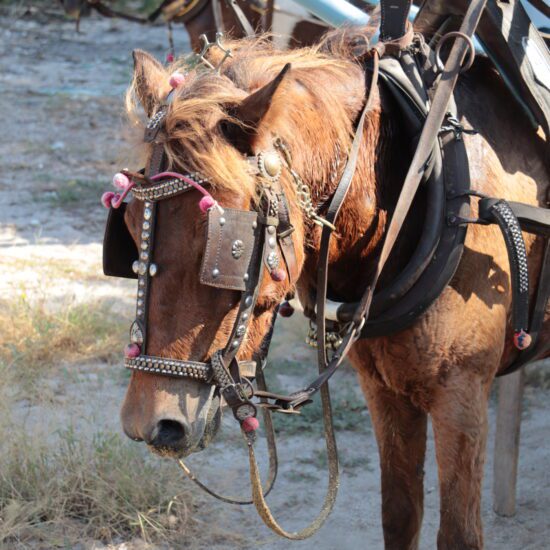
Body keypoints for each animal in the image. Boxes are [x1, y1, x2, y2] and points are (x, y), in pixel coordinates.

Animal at [118, 27, 548, 550]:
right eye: (128, 226)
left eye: (228, 244)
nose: (151, 423)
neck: (417, 186)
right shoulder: (384, 389)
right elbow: (400, 514)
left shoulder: (460, 393)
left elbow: (459, 534)